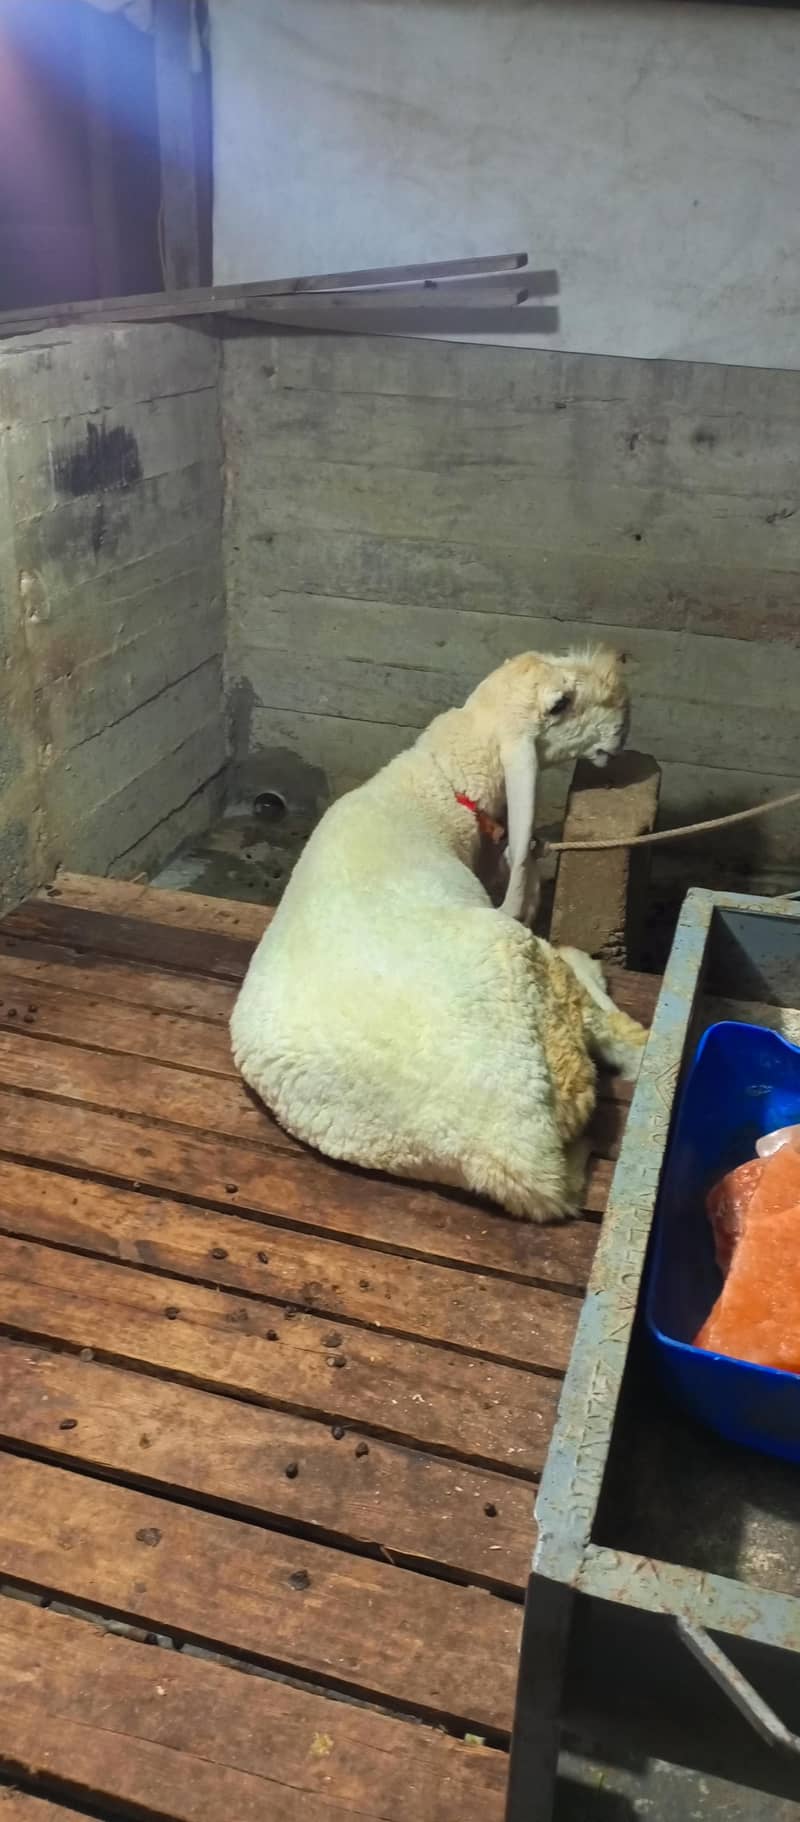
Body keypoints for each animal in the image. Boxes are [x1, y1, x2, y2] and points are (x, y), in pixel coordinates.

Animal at [230, 646, 648, 1223]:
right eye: (560, 703)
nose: (622, 690)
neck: (439, 787)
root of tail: (514, 1154)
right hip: (515, 959)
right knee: (618, 1033)